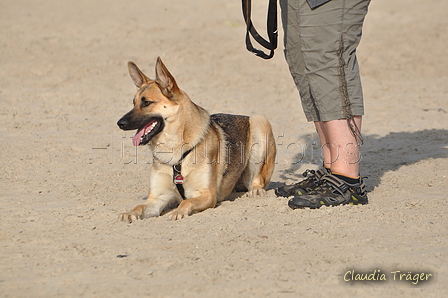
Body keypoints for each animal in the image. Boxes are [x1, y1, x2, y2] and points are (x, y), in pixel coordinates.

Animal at [117, 57, 274, 221]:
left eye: (146, 102)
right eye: (133, 103)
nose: (120, 123)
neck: (175, 151)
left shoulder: (206, 195)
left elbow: (186, 202)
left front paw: (177, 211)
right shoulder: (157, 199)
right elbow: (140, 207)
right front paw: (130, 213)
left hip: (260, 123)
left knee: (259, 179)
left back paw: (256, 190)